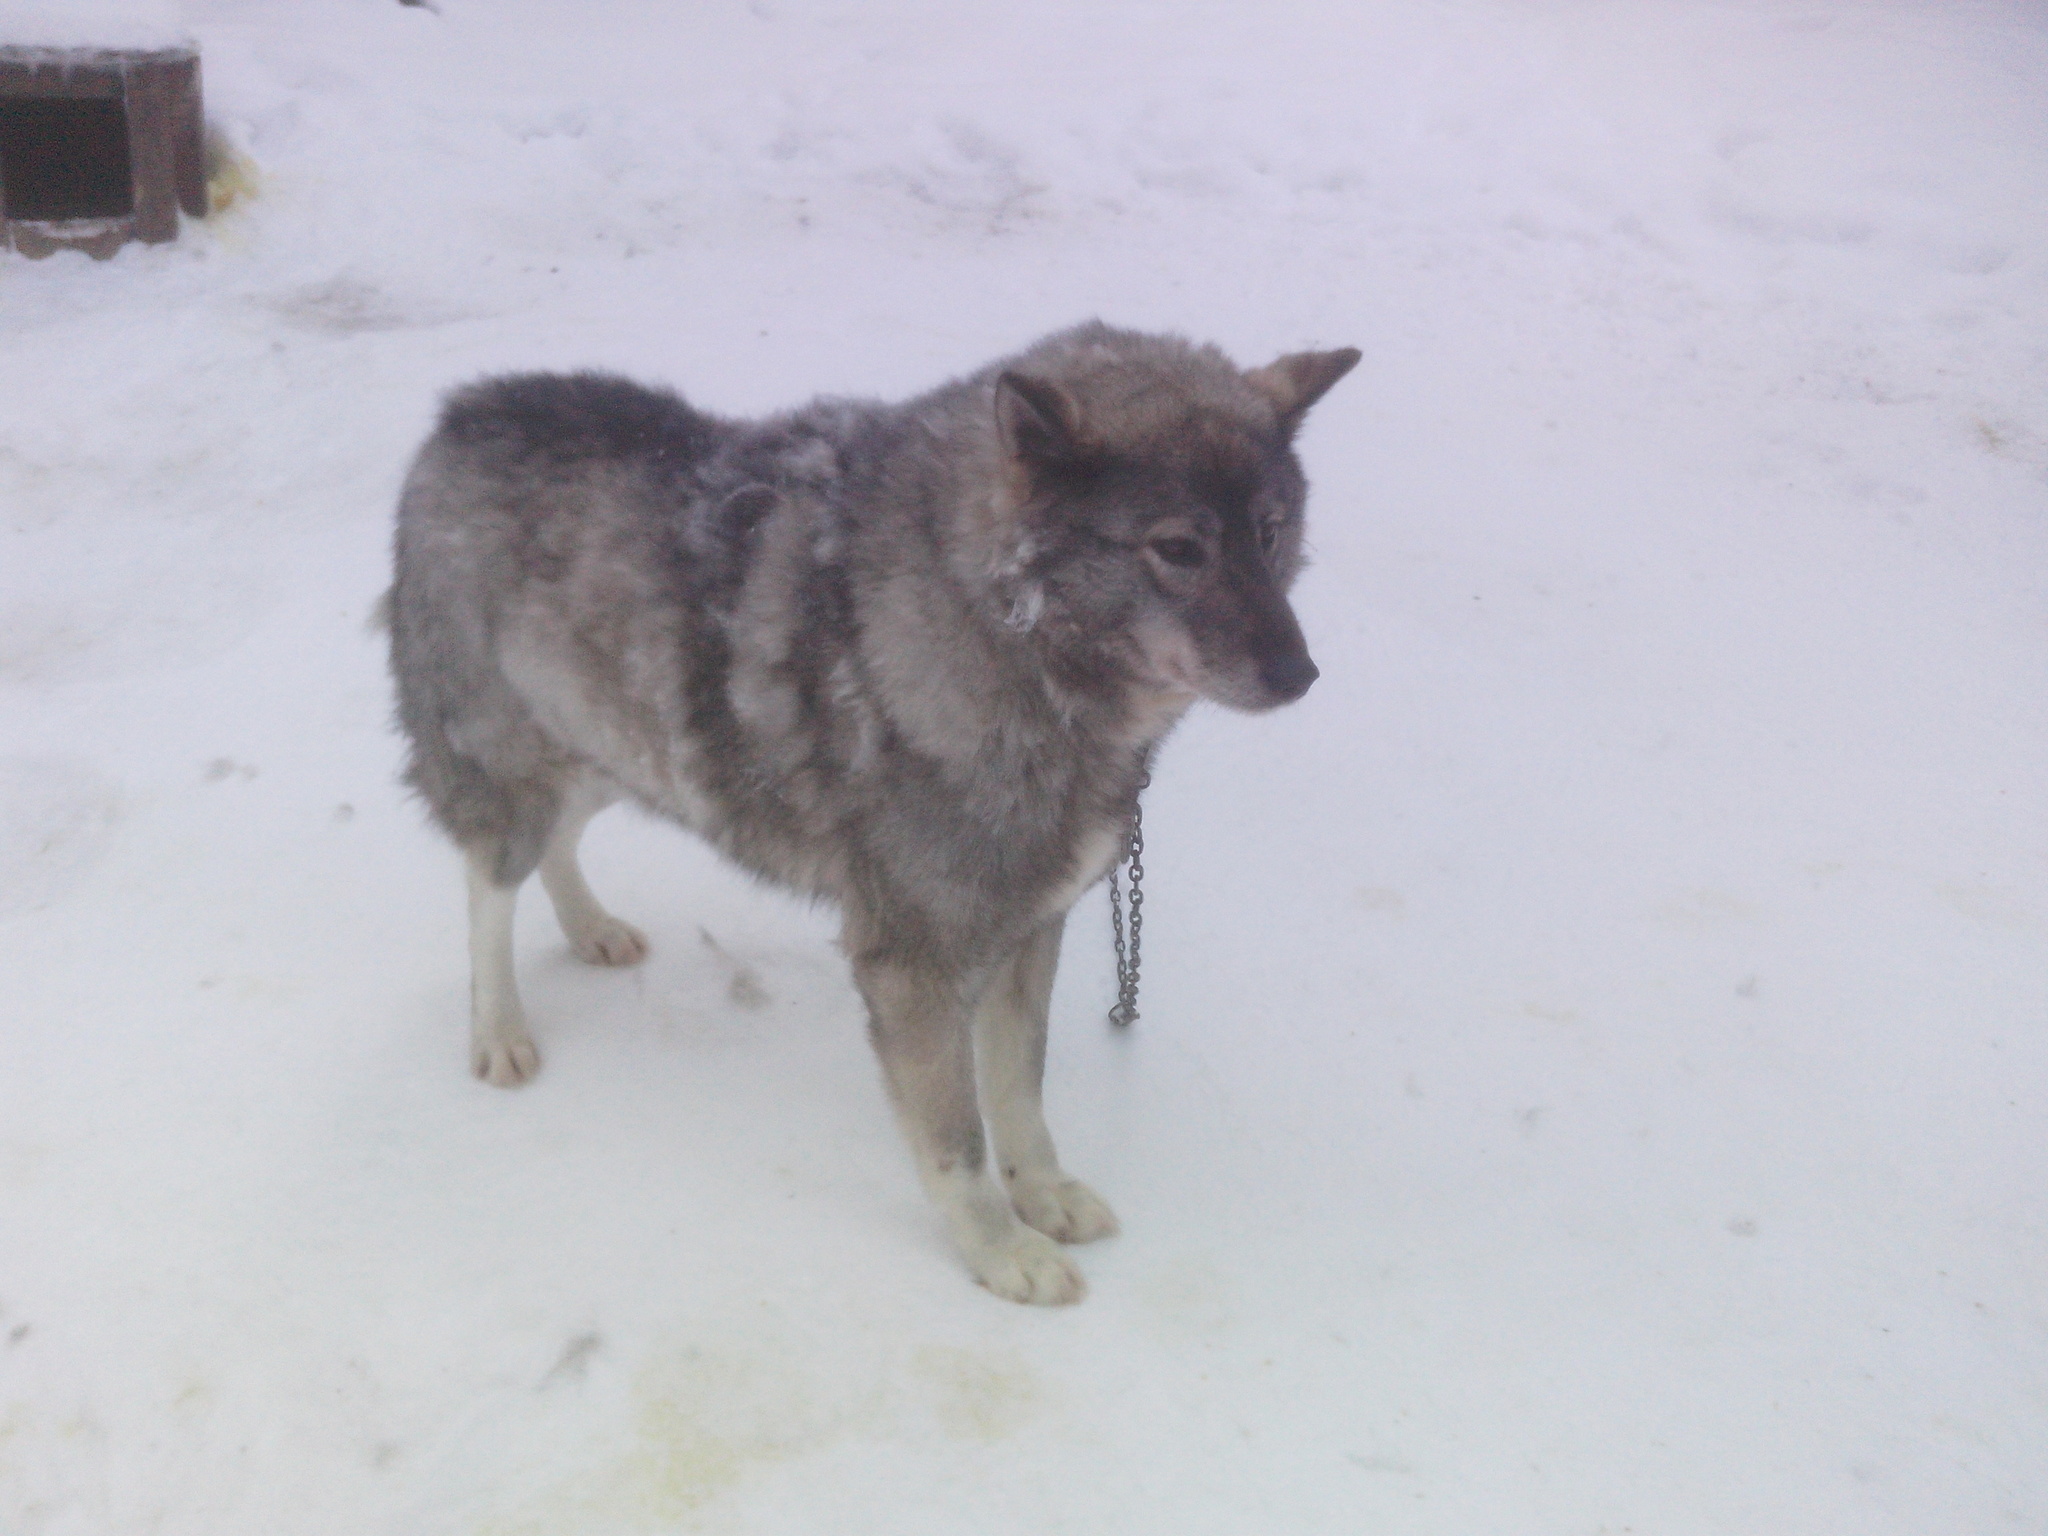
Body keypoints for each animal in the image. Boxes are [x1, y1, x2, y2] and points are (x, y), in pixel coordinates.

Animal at [389, 325, 1351, 1310]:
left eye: (1270, 532)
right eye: (1179, 547)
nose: (1299, 674)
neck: (1000, 629)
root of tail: (470, 409)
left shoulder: (1027, 929)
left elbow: (1019, 1092)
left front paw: (1042, 1191)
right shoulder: (914, 963)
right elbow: (957, 1136)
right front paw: (999, 1250)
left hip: (619, 742)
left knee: (559, 840)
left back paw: (590, 928)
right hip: (515, 761)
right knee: (490, 880)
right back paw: (499, 1029)